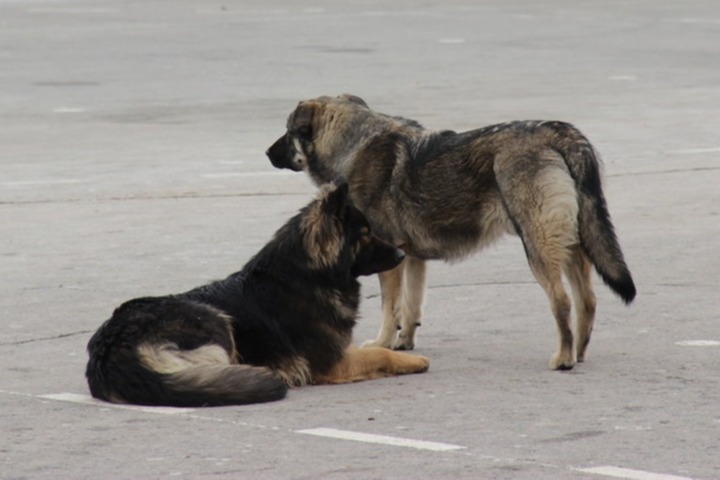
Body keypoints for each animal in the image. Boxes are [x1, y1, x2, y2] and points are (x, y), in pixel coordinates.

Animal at [87, 182, 430, 406]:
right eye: (364, 234)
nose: (401, 254)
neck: (308, 276)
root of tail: (111, 349)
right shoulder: (332, 363)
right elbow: (379, 353)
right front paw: (411, 360)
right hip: (215, 321)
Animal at [266, 94, 636, 372]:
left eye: (287, 131)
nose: (267, 153)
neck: (353, 144)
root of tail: (558, 133)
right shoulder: (411, 258)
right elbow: (411, 307)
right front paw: (404, 342)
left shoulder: (390, 261)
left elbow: (390, 308)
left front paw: (384, 342)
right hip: (571, 245)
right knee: (586, 300)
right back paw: (579, 352)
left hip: (539, 247)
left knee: (561, 302)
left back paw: (563, 358)